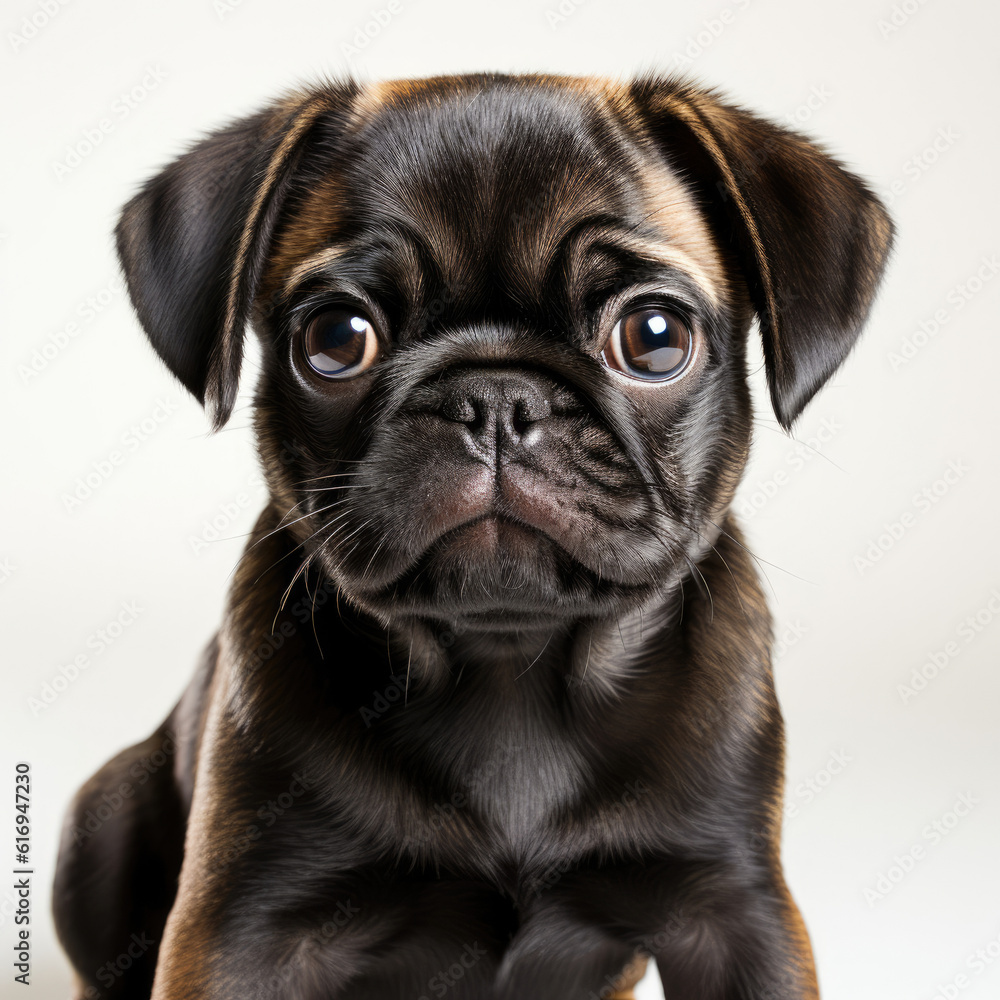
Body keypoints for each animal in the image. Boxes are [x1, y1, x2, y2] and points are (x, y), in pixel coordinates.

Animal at [52, 72, 892, 1000]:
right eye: (336, 338)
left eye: (654, 337)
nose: (494, 397)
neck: (507, 666)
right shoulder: (241, 932)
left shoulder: (733, 912)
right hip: (99, 817)